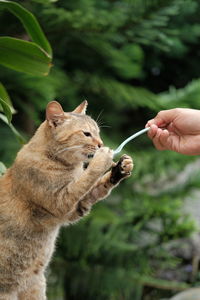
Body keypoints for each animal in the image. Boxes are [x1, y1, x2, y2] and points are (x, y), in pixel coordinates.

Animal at [0, 101, 133, 300]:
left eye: (98, 132)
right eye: (87, 134)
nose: (101, 144)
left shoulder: (75, 209)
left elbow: (97, 187)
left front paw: (120, 168)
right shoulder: (60, 201)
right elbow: (86, 178)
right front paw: (103, 158)